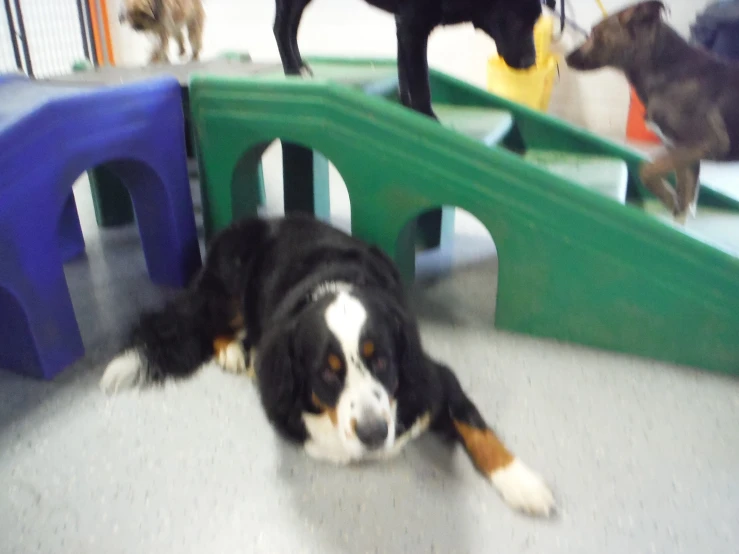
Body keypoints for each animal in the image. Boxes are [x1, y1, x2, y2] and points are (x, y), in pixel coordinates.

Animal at [102, 213, 556, 516]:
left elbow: (477, 428)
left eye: (382, 360)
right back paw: (233, 349)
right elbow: (332, 437)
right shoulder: (284, 403)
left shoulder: (433, 378)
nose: (373, 433)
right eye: (327, 372)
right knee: (205, 321)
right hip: (227, 282)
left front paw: (522, 483)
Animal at [568, 2, 739, 222]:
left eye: (596, 33)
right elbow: (684, 200)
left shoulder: (709, 142)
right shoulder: (681, 152)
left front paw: (667, 199)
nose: (567, 58)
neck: (666, 68)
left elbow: (646, 170)